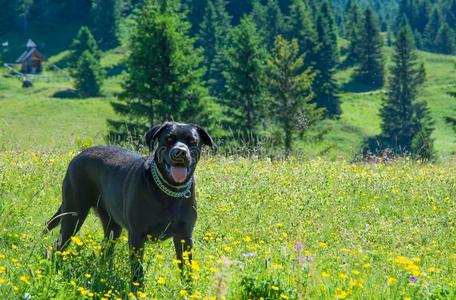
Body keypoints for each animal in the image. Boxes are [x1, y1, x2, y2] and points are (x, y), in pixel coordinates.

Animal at [45, 122, 216, 286]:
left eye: (192, 141)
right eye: (169, 139)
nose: (180, 152)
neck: (170, 191)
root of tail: (79, 155)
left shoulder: (184, 237)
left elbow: (186, 269)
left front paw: (188, 290)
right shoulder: (137, 236)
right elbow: (138, 271)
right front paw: (137, 290)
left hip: (112, 226)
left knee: (105, 250)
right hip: (73, 215)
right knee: (58, 246)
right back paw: (55, 270)